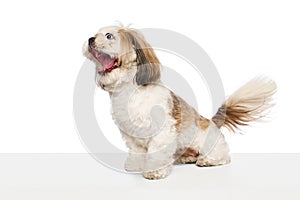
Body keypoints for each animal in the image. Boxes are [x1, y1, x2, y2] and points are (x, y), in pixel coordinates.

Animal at [82, 25, 276, 180]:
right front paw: (135, 165)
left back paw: (206, 160)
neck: (130, 92)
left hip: (210, 144)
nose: (90, 39)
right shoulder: (131, 135)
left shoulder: (162, 131)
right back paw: (187, 157)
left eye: (109, 36)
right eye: (95, 34)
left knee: (223, 156)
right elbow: (136, 151)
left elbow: (157, 152)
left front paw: (154, 171)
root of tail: (212, 122)